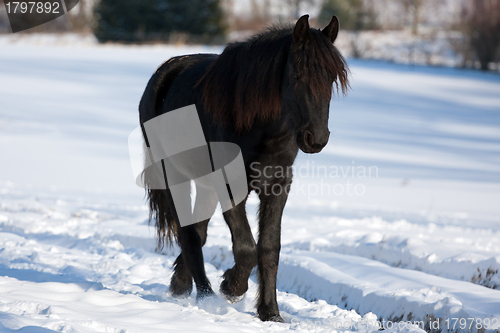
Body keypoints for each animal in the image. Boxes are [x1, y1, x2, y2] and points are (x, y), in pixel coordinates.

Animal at [138, 14, 348, 322]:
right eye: (297, 76)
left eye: (331, 79)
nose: (316, 139)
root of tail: (166, 71)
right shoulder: (229, 184)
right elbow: (246, 247)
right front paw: (231, 287)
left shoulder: (277, 186)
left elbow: (269, 248)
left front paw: (270, 312)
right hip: (173, 176)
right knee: (188, 233)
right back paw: (206, 297)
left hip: (205, 185)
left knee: (198, 231)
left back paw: (181, 284)